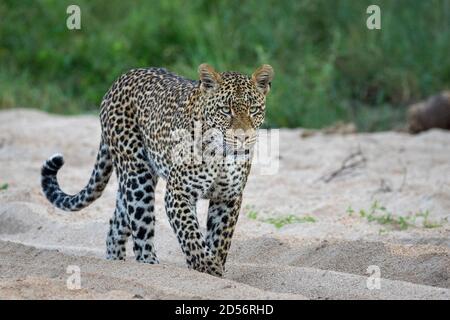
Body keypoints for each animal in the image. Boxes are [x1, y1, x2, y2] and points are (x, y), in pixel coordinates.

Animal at [41, 63, 274, 276]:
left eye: (253, 109)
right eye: (225, 110)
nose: (243, 137)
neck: (222, 156)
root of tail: (122, 78)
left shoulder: (228, 197)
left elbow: (219, 240)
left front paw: (213, 271)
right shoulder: (178, 192)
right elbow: (191, 235)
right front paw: (207, 268)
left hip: (132, 182)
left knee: (117, 223)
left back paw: (115, 264)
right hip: (137, 177)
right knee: (140, 231)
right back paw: (150, 266)